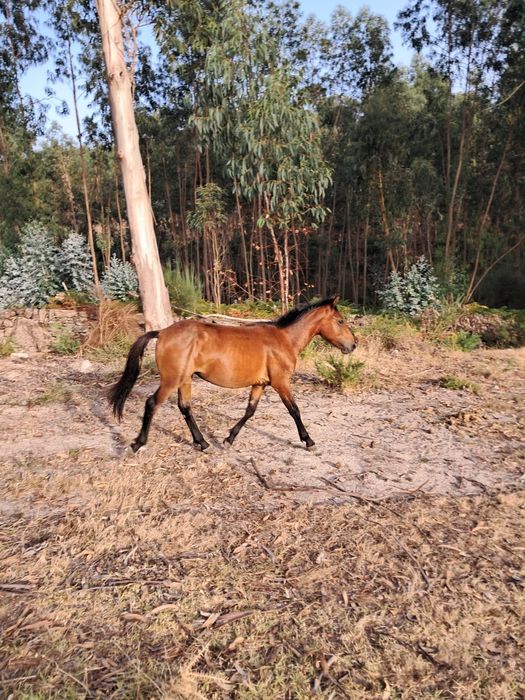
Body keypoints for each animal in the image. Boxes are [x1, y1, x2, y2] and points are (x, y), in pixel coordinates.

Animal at [109, 296, 357, 452]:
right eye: (340, 320)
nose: (353, 345)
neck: (284, 340)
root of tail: (161, 332)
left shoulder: (260, 384)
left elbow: (250, 411)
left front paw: (228, 439)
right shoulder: (281, 383)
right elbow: (294, 410)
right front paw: (308, 441)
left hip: (185, 380)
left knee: (185, 407)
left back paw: (203, 443)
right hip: (171, 380)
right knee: (152, 403)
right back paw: (137, 444)